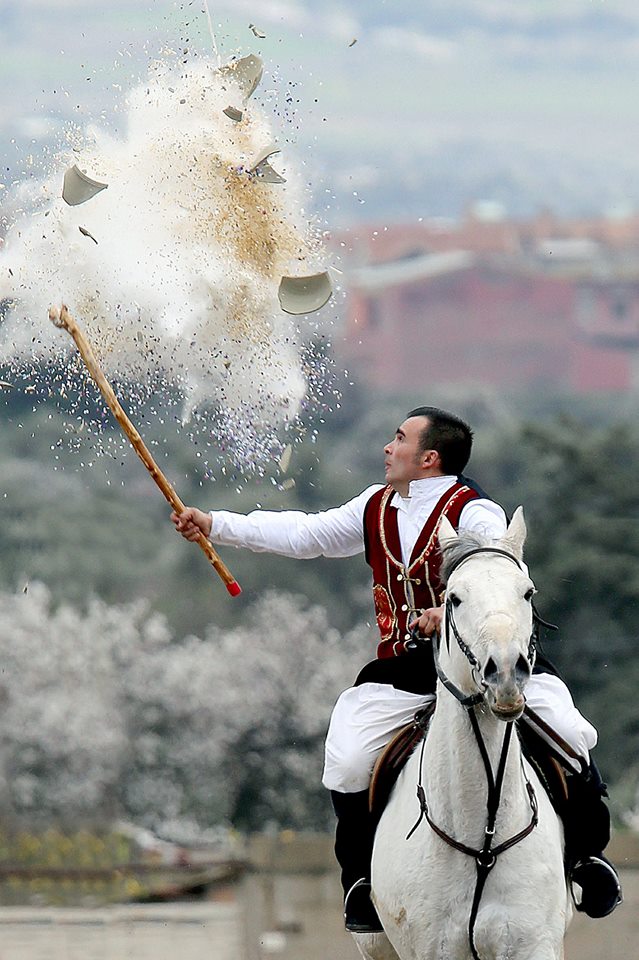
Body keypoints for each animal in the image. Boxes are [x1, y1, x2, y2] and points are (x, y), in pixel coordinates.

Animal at [356, 506, 568, 956]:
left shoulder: (533, 944)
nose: (505, 674)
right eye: (453, 597)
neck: (481, 838)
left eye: (527, 592)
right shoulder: (431, 948)